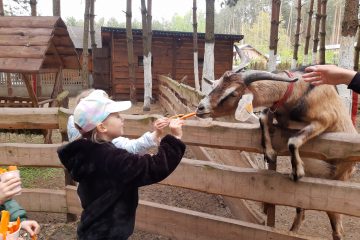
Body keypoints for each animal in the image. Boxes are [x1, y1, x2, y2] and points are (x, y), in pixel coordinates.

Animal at [197, 68, 358, 240]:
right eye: (215, 85)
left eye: (232, 93)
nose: (200, 108)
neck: (295, 91)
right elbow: (262, 117)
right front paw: (269, 153)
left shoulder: (326, 118)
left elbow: (293, 140)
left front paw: (297, 172)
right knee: (301, 213)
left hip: (338, 181)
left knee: (338, 229)